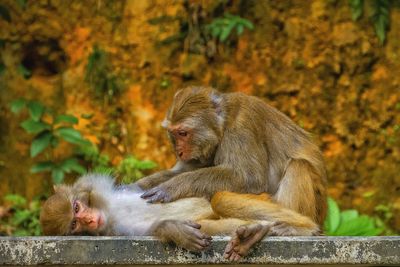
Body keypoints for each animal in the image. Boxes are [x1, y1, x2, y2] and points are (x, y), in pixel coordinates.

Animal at [40, 175, 320, 260]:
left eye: (76, 208)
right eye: (74, 224)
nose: (88, 220)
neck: (109, 213)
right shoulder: (115, 229)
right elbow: (150, 228)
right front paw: (172, 229)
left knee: (218, 198)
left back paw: (299, 228)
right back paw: (253, 235)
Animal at [138, 87, 328, 226]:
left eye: (183, 133)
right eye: (173, 134)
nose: (179, 152)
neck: (224, 122)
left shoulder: (241, 128)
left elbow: (250, 178)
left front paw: (172, 186)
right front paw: (140, 185)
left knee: (299, 165)